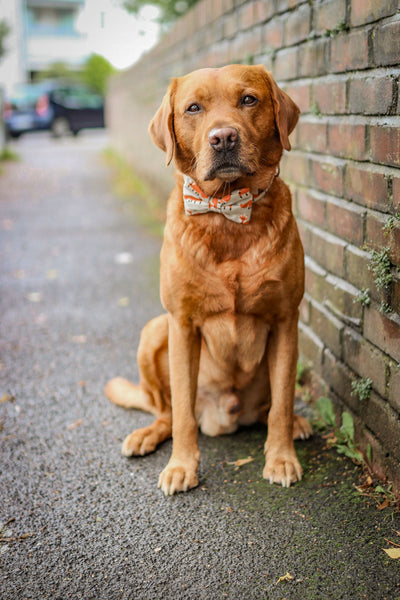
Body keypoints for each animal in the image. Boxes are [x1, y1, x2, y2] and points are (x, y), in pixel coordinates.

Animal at [107, 64, 312, 496]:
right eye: (193, 108)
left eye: (248, 99)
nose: (224, 137)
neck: (226, 213)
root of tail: (224, 417)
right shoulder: (182, 323)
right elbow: (183, 413)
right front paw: (182, 466)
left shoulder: (286, 320)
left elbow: (284, 402)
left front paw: (281, 458)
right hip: (155, 330)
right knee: (168, 412)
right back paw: (147, 434)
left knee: (270, 407)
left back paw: (298, 424)